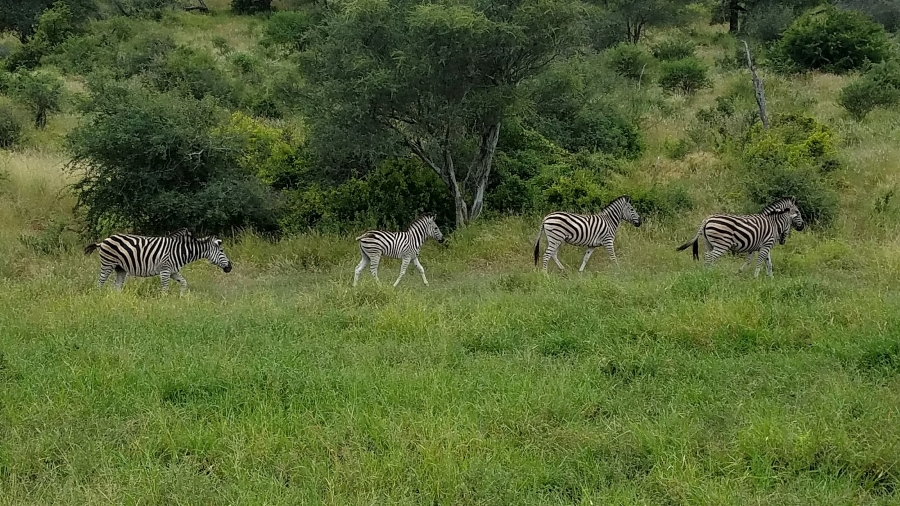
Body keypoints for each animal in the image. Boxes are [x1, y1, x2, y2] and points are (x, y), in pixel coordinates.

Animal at [82, 230, 234, 292]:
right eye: (222, 251)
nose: (230, 267)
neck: (182, 251)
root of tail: (103, 241)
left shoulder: (173, 271)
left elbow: (184, 283)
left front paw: (182, 297)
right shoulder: (165, 270)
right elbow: (165, 289)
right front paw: (164, 303)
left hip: (121, 269)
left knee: (116, 287)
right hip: (108, 264)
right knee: (99, 283)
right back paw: (99, 297)